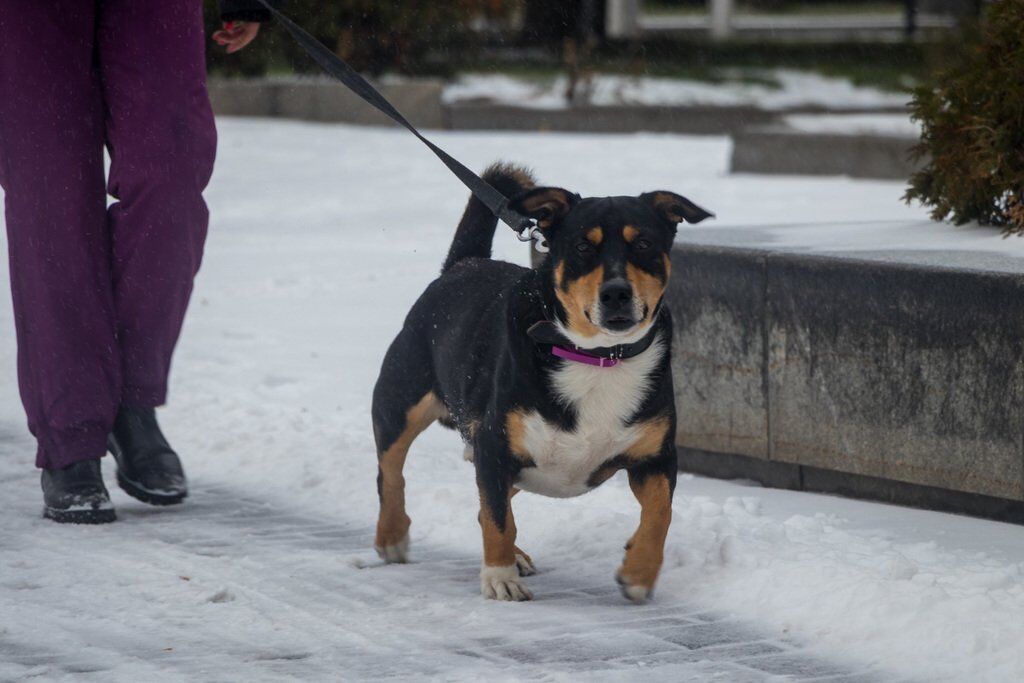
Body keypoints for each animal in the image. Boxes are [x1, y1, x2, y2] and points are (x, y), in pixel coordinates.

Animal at [368, 162, 712, 602]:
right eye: (582, 247)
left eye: (644, 243)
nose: (616, 293)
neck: (598, 356)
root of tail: (464, 263)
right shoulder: (495, 446)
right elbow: (499, 520)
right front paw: (500, 576)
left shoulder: (655, 456)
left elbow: (660, 514)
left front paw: (639, 571)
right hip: (402, 400)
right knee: (392, 472)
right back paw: (393, 536)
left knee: (483, 503)